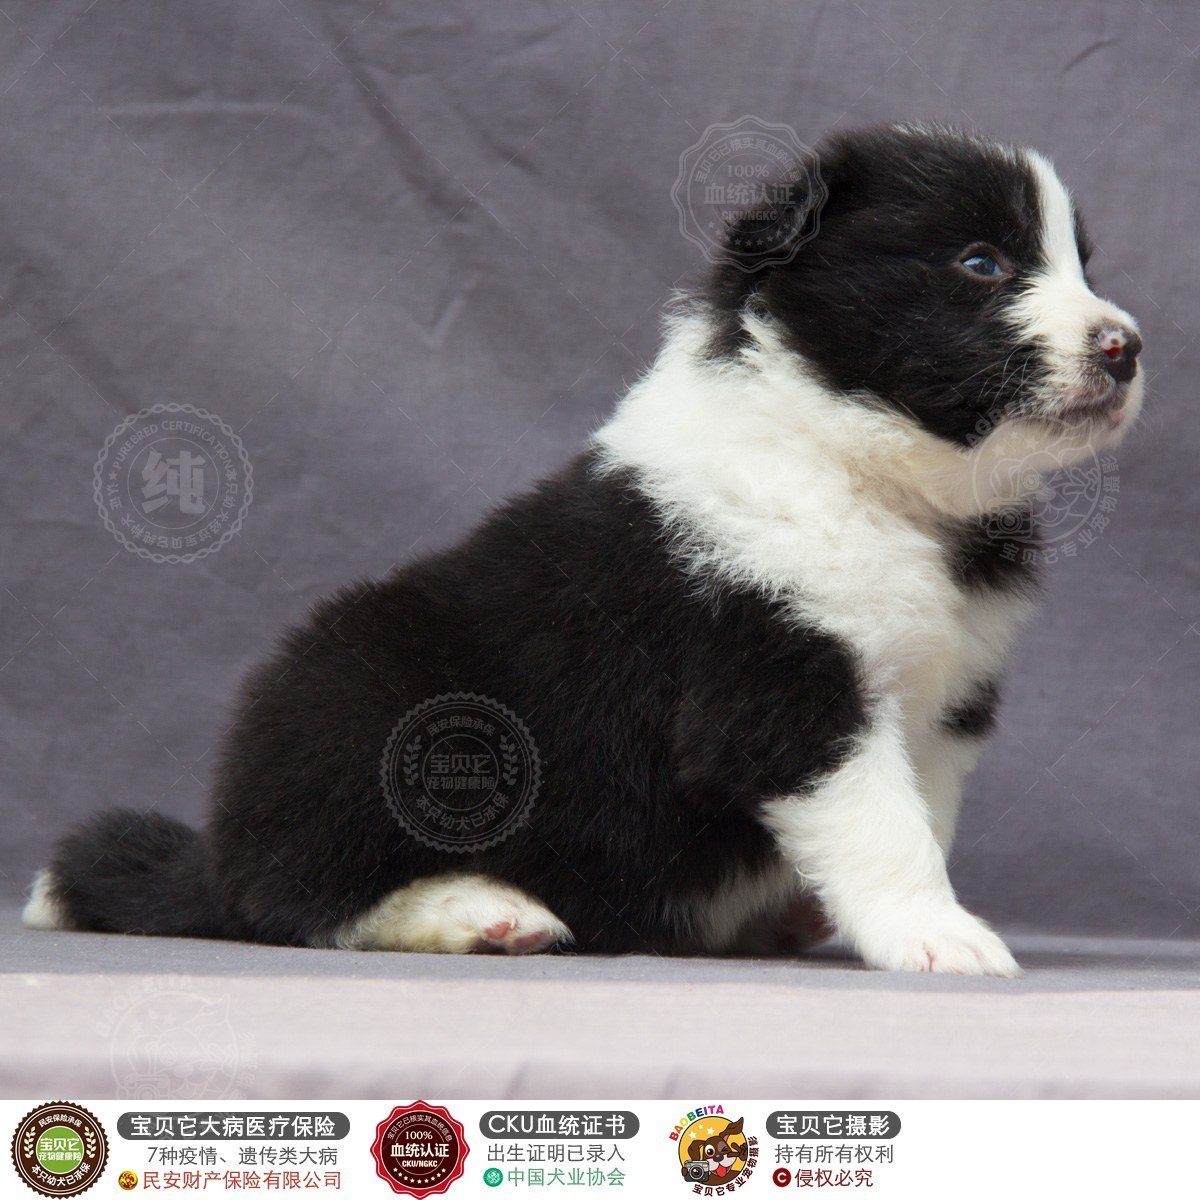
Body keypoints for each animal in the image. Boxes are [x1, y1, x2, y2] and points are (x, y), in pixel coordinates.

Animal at [25, 124, 1143, 976]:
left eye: (1081, 263)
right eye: (981, 264)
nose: (1126, 347)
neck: (874, 472)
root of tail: (217, 846)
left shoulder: (947, 704)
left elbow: (926, 812)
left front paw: (902, 917)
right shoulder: (779, 682)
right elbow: (883, 825)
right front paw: (938, 937)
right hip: (362, 707)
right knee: (299, 898)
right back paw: (480, 912)